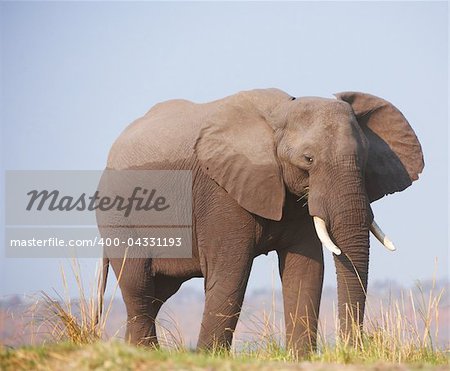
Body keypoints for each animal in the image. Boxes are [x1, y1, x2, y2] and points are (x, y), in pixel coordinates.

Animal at [96, 88, 424, 356]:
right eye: (308, 159)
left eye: (364, 160)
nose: (352, 349)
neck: (280, 116)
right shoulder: (222, 192)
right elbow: (231, 273)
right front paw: (209, 358)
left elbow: (306, 270)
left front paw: (300, 358)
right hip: (118, 216)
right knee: (138, 284)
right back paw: (144, 352)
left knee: (156, 294)